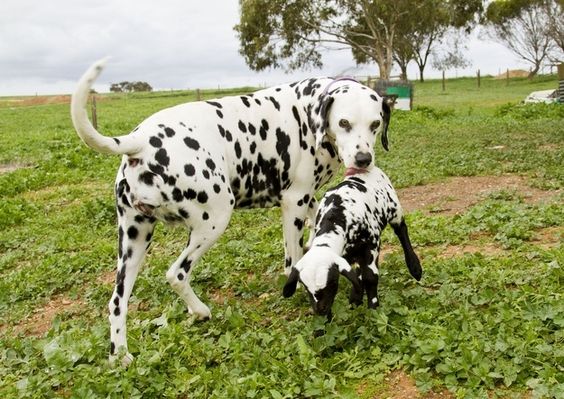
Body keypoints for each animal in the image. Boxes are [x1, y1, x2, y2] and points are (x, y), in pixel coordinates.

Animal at [284, 167, 420, 320]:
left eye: (331, 283)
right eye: (306, 287)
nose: (320, 310)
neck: (336, 218)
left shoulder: (371, 246)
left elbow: (370, 278)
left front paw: (374, 311)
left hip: (394, 210)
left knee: (402, 231)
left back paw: (415, 268)